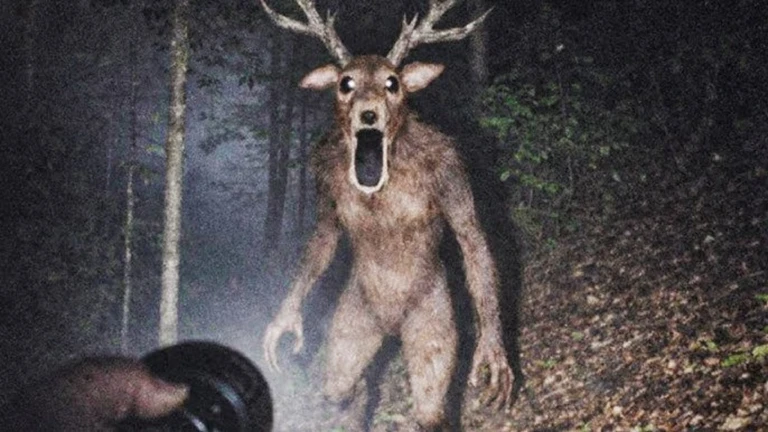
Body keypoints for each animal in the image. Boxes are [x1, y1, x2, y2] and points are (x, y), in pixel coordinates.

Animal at [259, 1, 514, 430]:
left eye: (392, 83)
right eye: (345, 83)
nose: (368, 113)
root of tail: (392, 326)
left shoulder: (450, 169)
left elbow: (471, 237)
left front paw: (493, 353)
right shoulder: (322, 181)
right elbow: (324, 237)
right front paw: (282, 323)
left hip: (432, 325)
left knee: (431, 409)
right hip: (354, 321)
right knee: (346, 386)